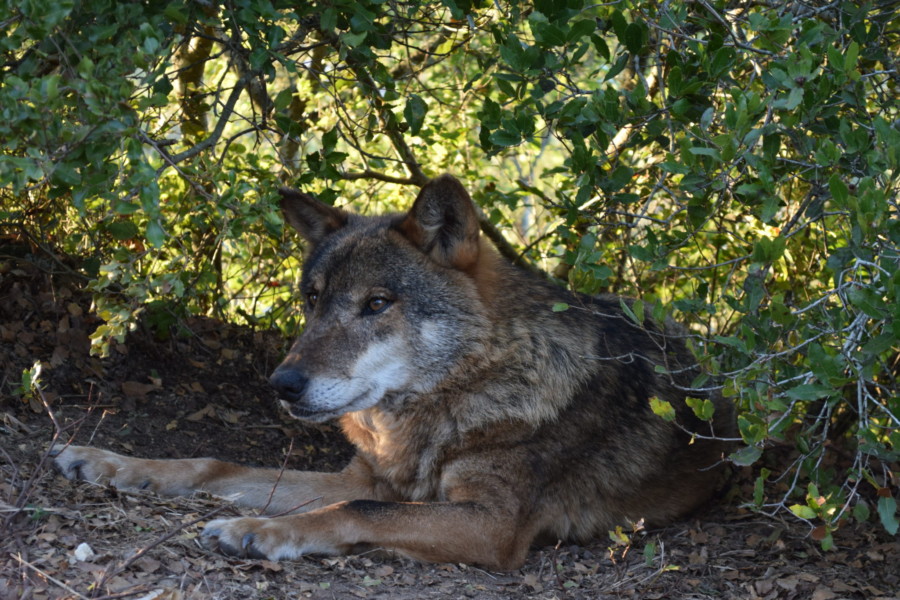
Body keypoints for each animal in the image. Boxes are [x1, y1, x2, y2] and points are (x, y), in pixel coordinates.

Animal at [52, 175, 736, 572]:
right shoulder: (364, 476)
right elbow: (215, 466)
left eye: (376, 304)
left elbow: (356, 512)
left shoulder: (493, 526)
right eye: (312, 300)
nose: (282, 386)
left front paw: (257, 529)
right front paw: (110, 464)